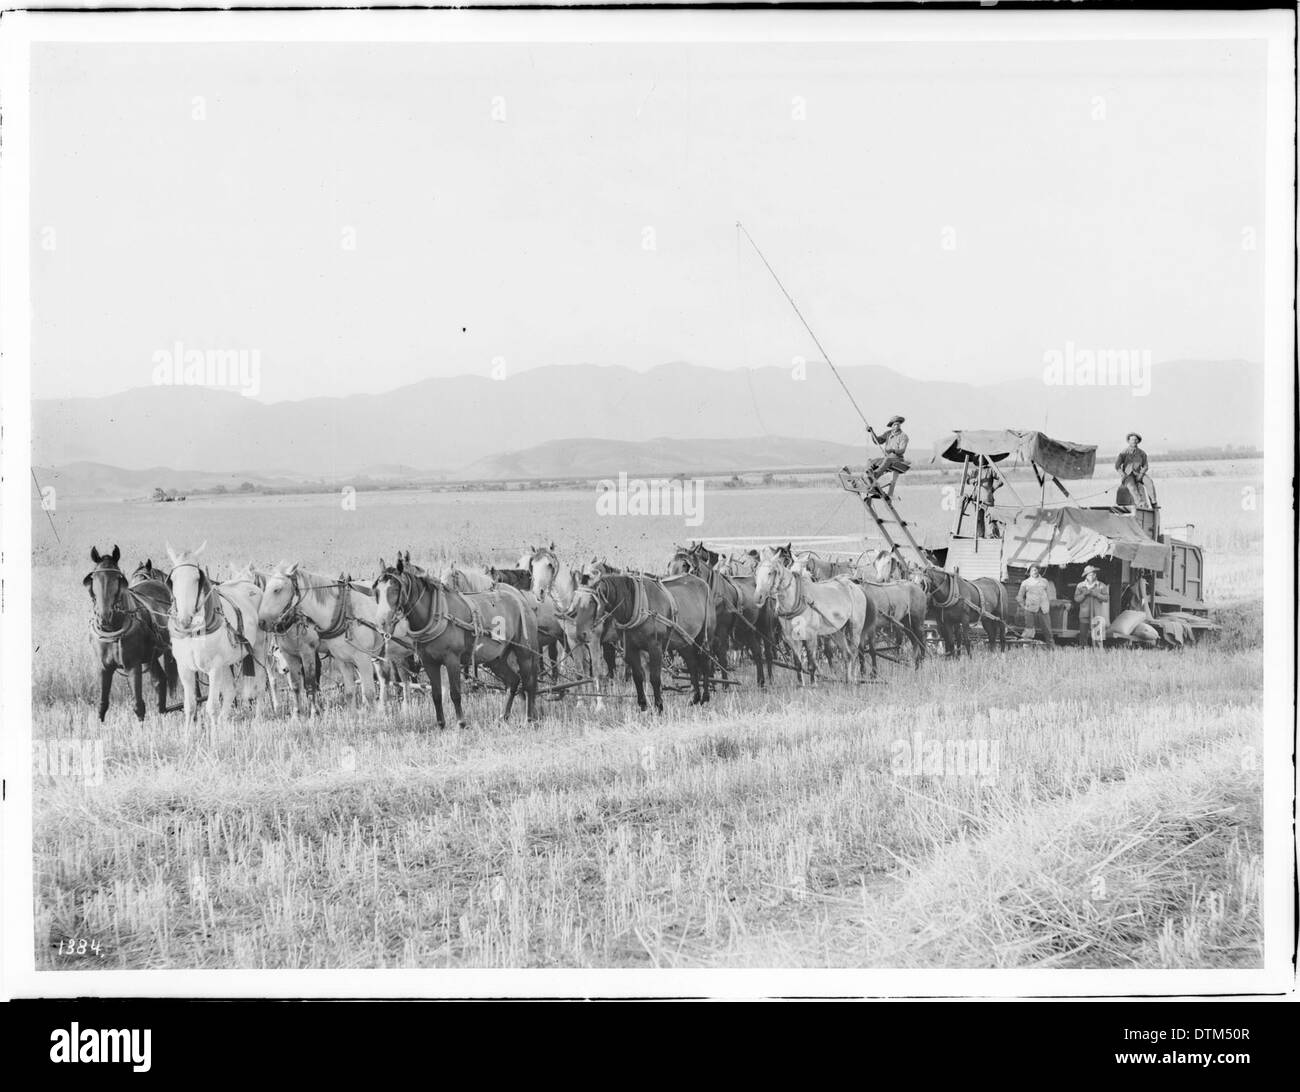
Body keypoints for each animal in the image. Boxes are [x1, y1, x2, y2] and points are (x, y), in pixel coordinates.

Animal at [83, 545, 177, 722]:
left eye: (118, 578)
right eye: (93, 579)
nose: (105, 616)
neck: (113, 629)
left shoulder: (133, 666)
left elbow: (138, 705)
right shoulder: (103, 668)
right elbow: (102, 705)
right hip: (151, 657)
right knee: (160, 680)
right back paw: (162, 712)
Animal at [165, 542, 267, 733]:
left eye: (196, 578)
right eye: (172, 579)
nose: (184, 619)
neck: (194, 631)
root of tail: (249, 584)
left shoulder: (214, 668)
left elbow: (212, 707)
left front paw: (214, 739)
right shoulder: (185, 668)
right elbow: (190, 706)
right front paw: (187, 738)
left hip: (257, 649)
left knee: (260, 684)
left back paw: (257, 720)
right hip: (225, 664)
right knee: (230, 691)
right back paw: (223, 724)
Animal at [374, 555, 539, 729]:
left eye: (395, 590)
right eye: (377, 591)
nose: (381, 622)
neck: (437, 614)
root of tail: (522, 600)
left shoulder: (452, 659)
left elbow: (455, 693)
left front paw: (461, 722)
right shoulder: (429, 662)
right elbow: (436, 694)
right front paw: (441, 724)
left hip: (525, 652)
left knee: (528, 683)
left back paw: (529, 719)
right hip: (495, 659)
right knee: (513, 681)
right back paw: (504, 716)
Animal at [590, 571, 715, 711]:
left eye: (591, 601)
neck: (636, 606)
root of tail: (703, 583)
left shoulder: (655, 647)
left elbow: (654, 678)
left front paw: (659, 706)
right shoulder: (631, 648)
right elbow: (638, 676)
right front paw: (643, 704)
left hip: (704, 637)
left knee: (706, 663)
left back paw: (705, 697)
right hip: (684, 640)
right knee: (692, 664)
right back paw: (695, 698)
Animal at [756, 549, 868, 684]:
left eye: (770, 572)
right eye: (756, 572)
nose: (758, 596)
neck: (796, 599)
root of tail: (855, 586)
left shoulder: (811, 636)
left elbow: (811, 664)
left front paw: (813, 684)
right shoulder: (791, 637)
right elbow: (798, 664)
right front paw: (801, 685)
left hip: (855, 628)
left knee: (855, 652)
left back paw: (854, 679)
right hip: (837, 631)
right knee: (847, 654)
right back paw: (847, 681)